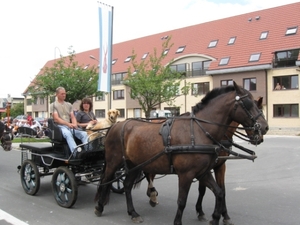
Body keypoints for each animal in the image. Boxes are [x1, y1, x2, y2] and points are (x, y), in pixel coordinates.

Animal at [95, 82, 268, 225]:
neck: (199, 130)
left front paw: (216, 218)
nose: (264, 128)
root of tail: (115, 126)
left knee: (127, 185)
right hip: (114, 162)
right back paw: (99, 206)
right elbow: (182, 201)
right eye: (248, 104)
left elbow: (219, 192)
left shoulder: (204, 171)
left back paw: (133, 213)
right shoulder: (186, 174)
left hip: (134, 165)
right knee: (106, 180)